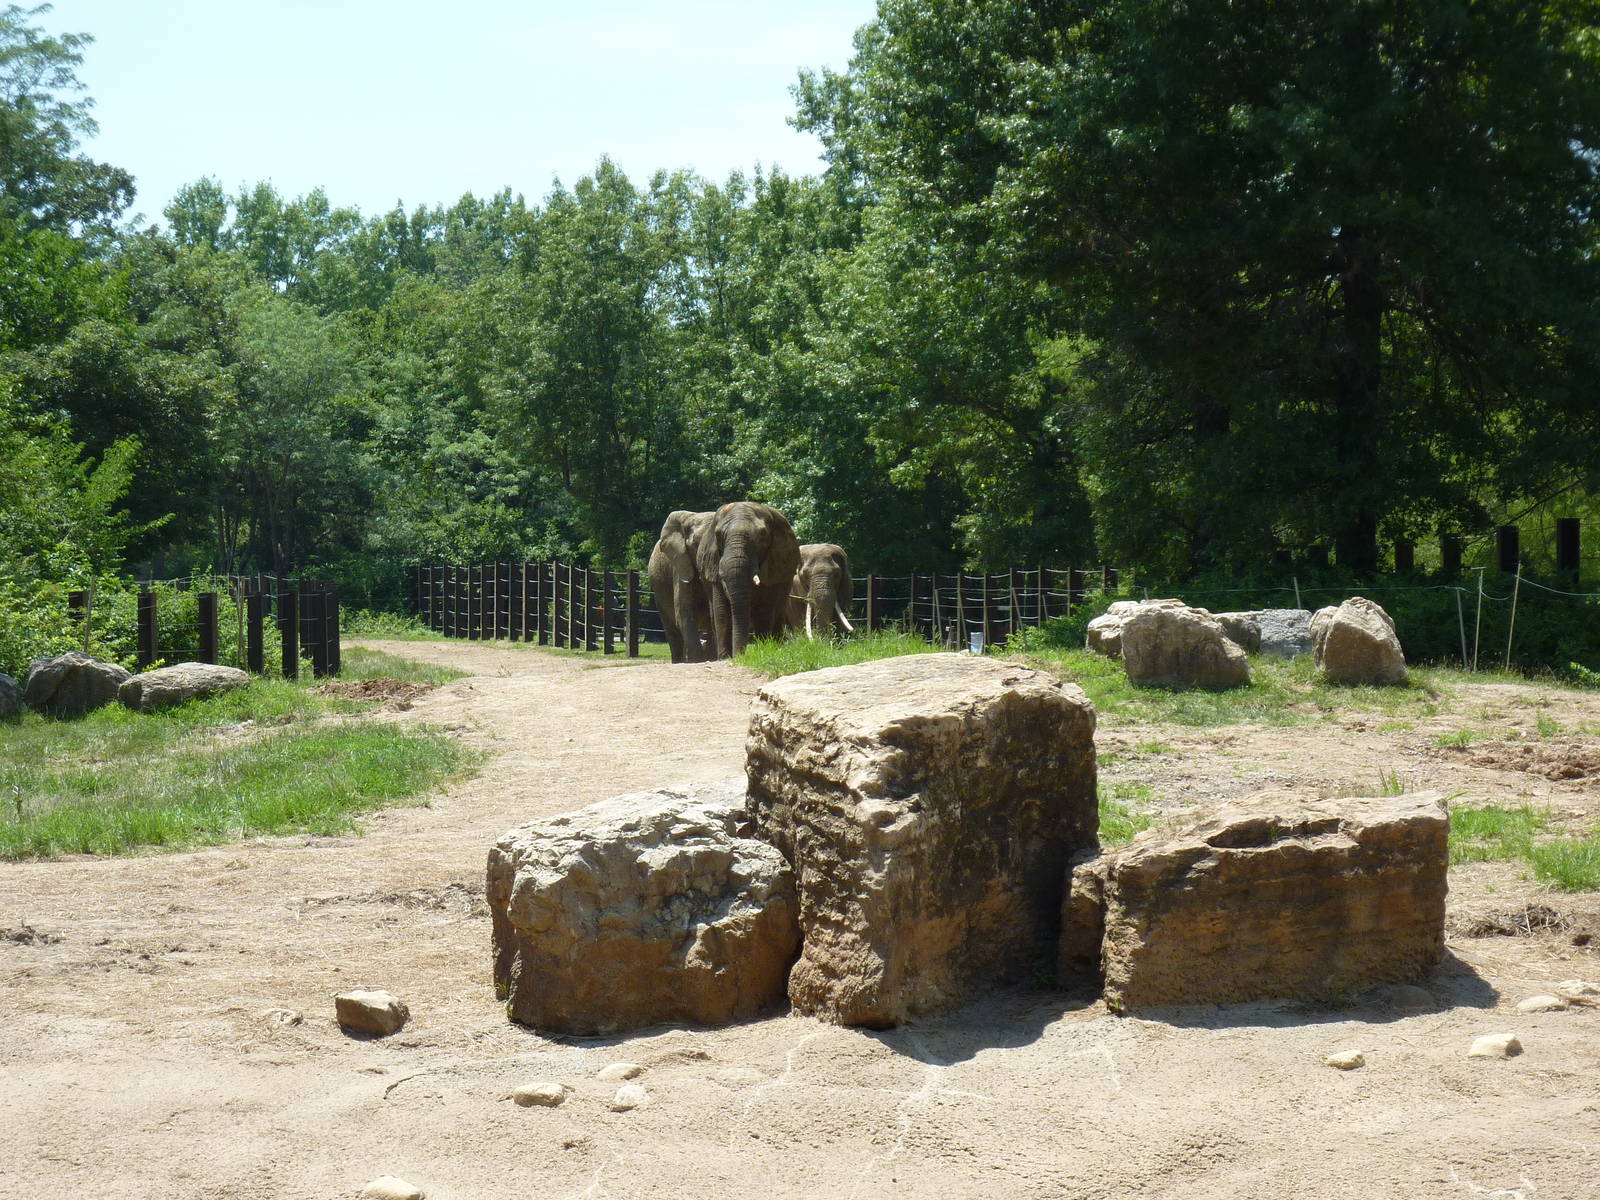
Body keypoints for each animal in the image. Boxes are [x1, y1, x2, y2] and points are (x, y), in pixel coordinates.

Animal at [648, 510, 715, 663]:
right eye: (695, 544)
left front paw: (710, 657)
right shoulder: (680, 566)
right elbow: (684, 613)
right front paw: (697, 660)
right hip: (658, 593)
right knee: (672, 631)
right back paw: (679, 661)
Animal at [696, 501, 801, 659]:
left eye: (762, 535)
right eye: (718, 535)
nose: (740, 655)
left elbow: (765, 609)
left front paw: (764, 650)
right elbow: (721, 612)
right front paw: (725, 658)